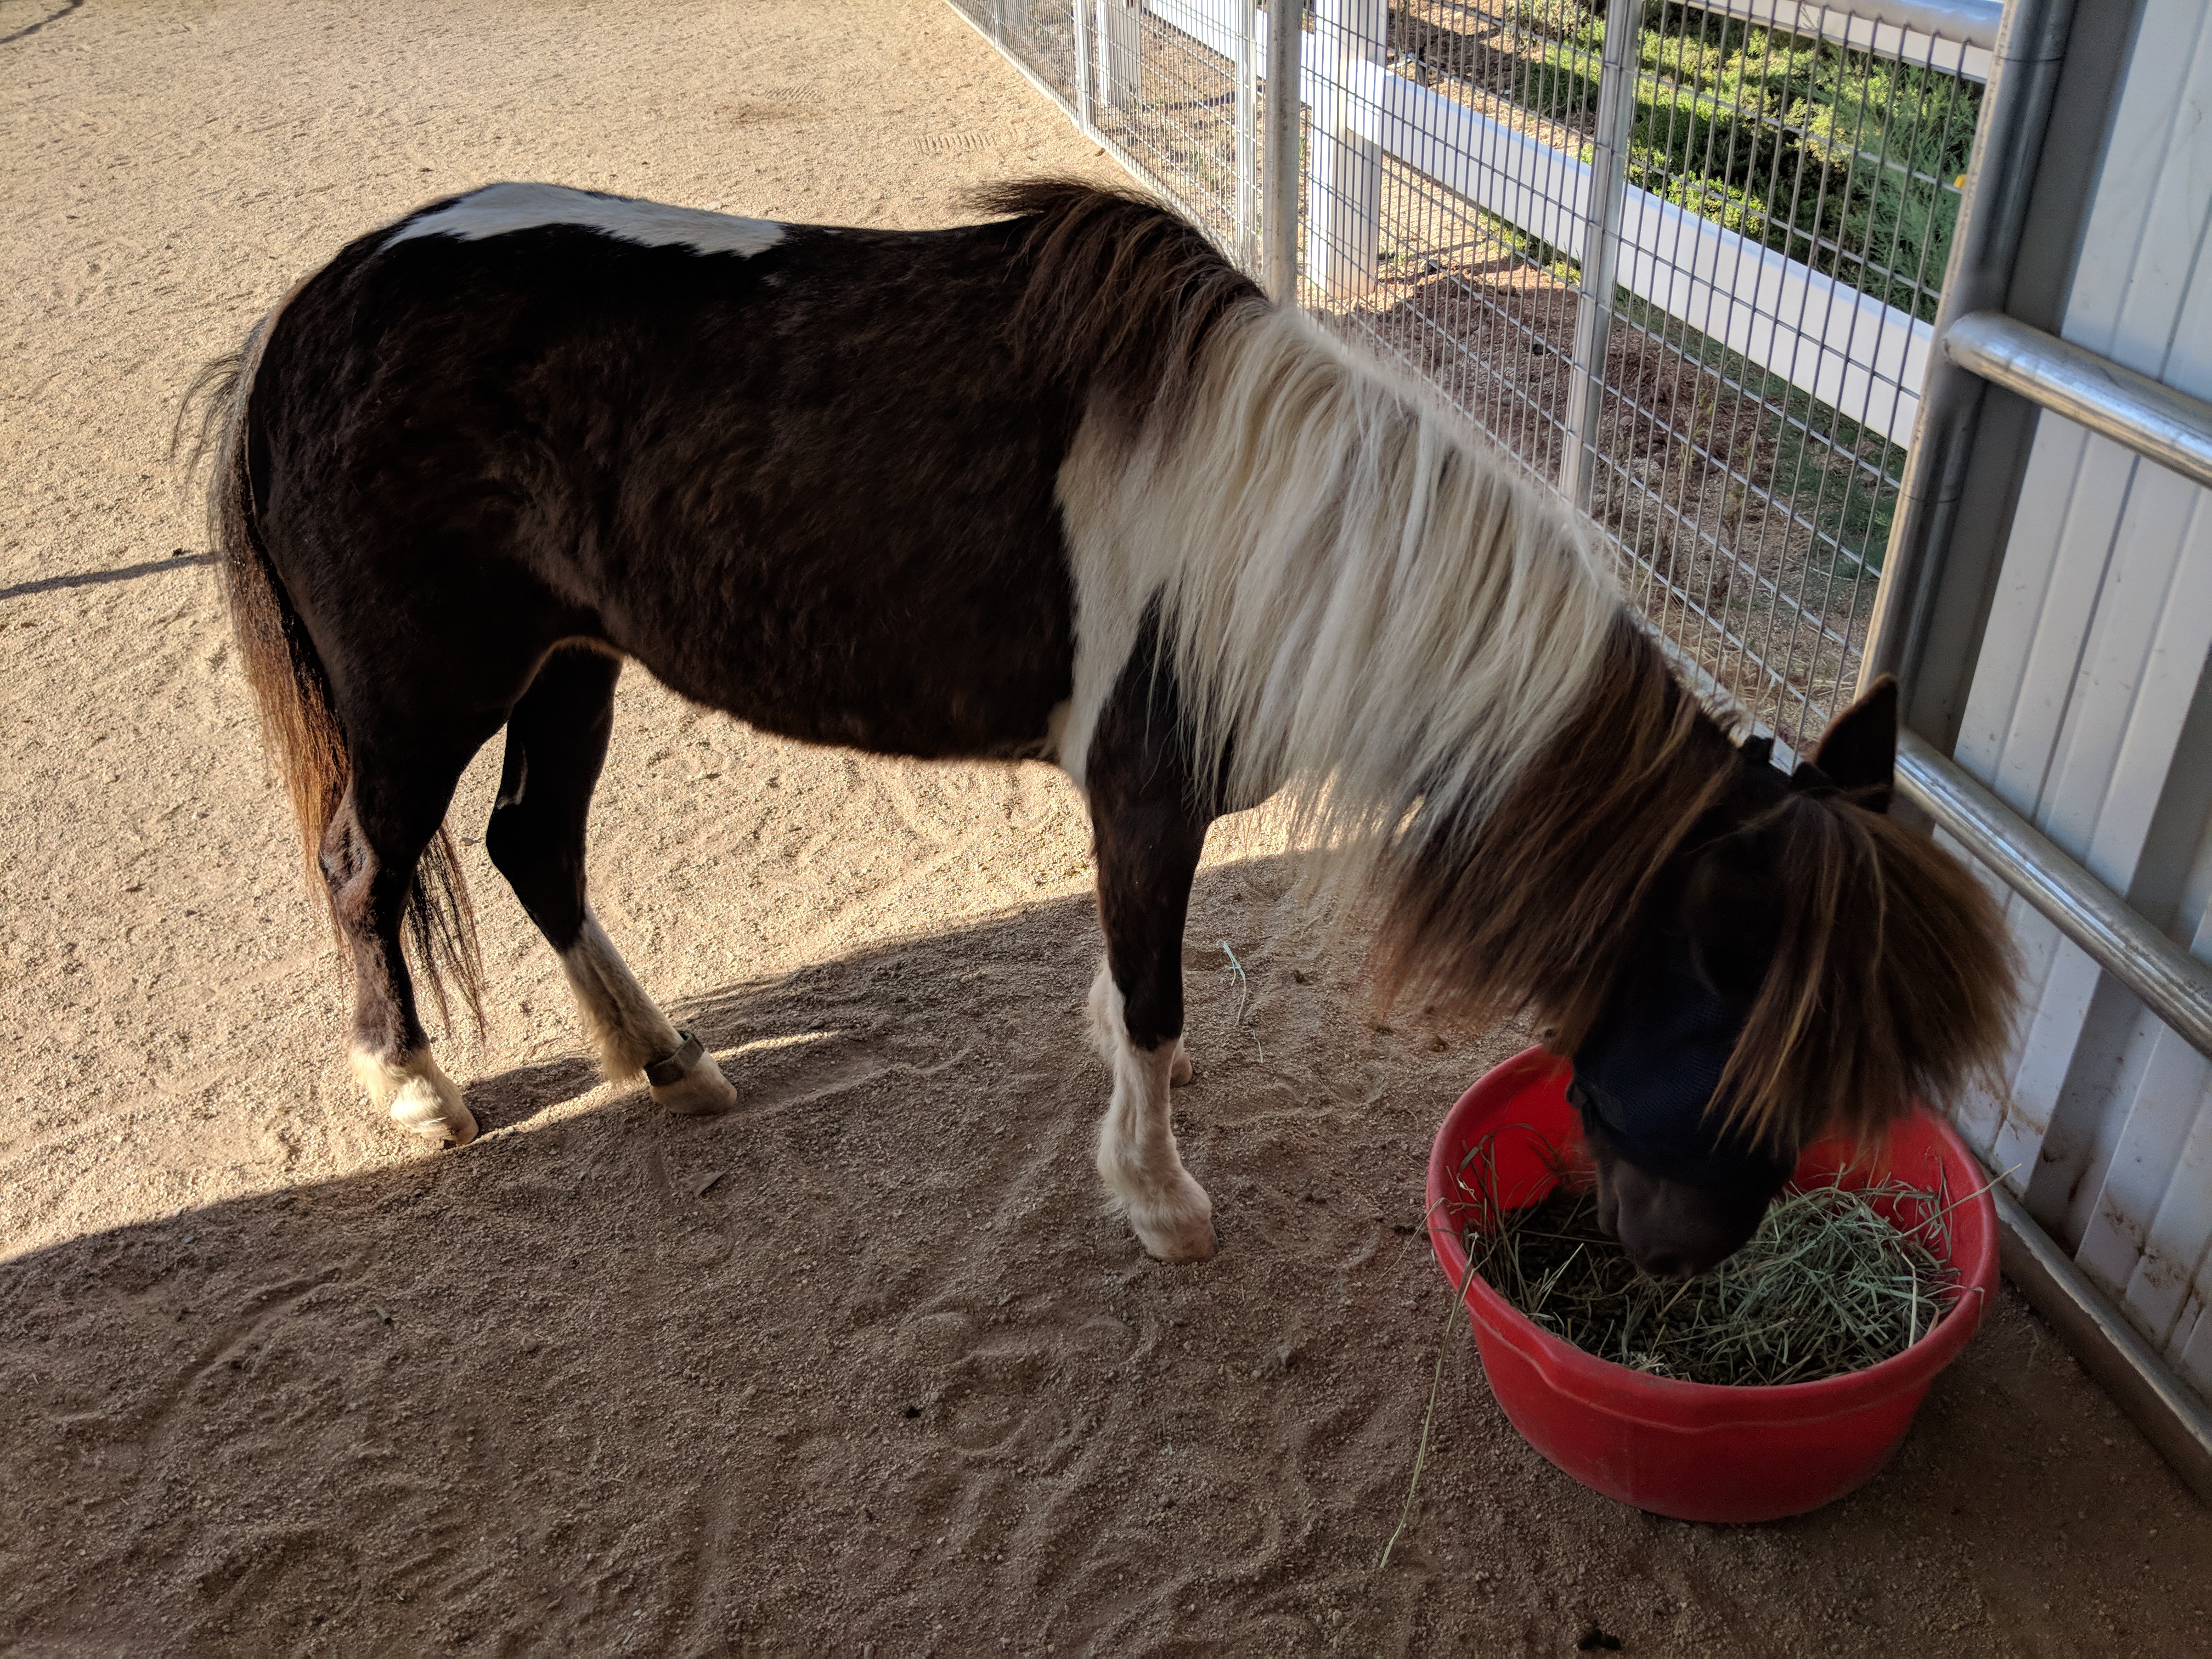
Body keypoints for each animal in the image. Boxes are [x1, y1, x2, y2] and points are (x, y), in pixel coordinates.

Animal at [185, 179, 2026, 1274]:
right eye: (1737, 1038)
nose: (1678, 1262)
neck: (1294, 541)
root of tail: (321, 303)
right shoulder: (1144, 798)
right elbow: (1150, 994)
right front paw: (1159, 1196)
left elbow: (1135, 988)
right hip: (423, 695)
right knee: (366, 867)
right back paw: (412, 1088)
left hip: (575, 664)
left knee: (533, 848)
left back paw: (668, 1062)